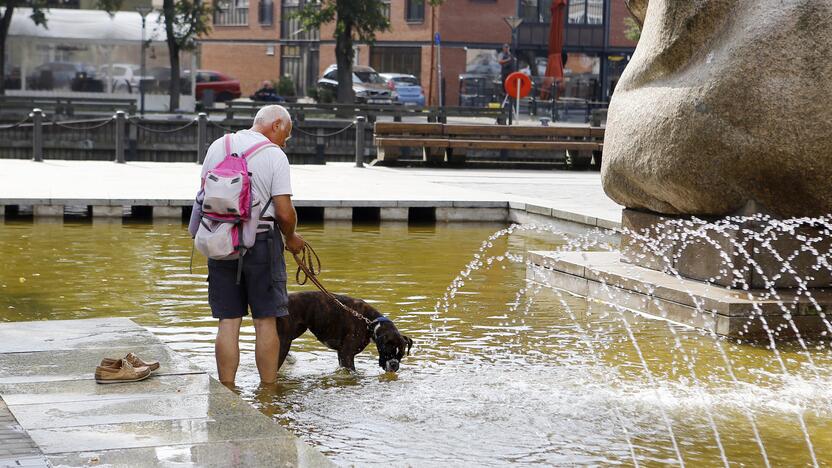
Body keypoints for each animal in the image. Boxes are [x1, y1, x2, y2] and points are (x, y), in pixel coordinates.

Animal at [280, 290, 412, 372]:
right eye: (387, 352)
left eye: (401, 355)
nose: (394, 365)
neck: (370, 322)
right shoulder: (347, 354)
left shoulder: (341, 354)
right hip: (285, 340)